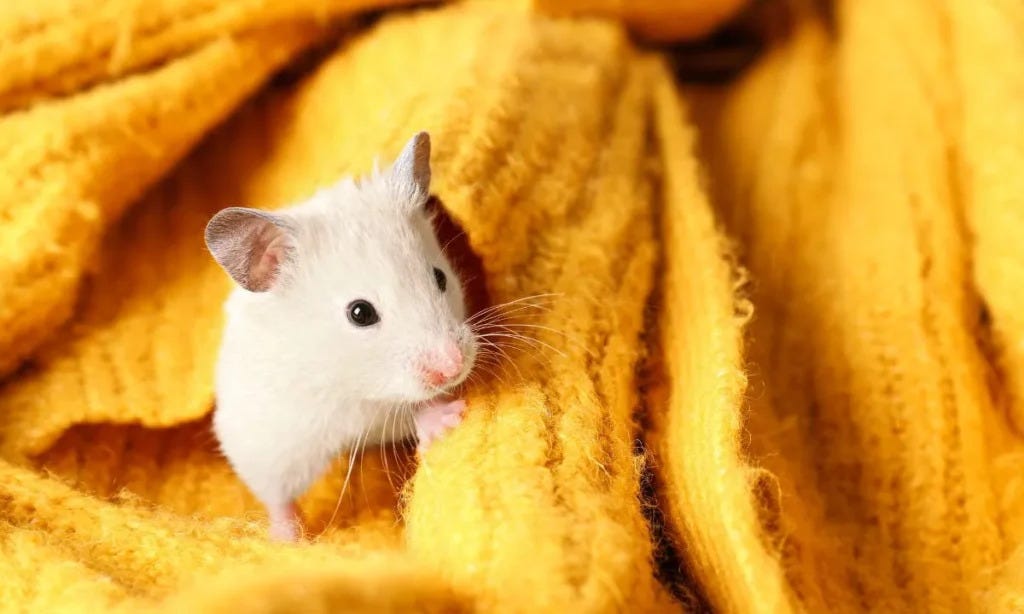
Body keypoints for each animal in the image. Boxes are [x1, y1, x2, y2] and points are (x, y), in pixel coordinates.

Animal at [204, 132, 478, 542]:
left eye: (440, 277)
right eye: (360, 313)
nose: (454, 367)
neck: (345, 377)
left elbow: (409, 408)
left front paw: (451, 414)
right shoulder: (266, 432)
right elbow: (276, 495)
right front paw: (289, 540)